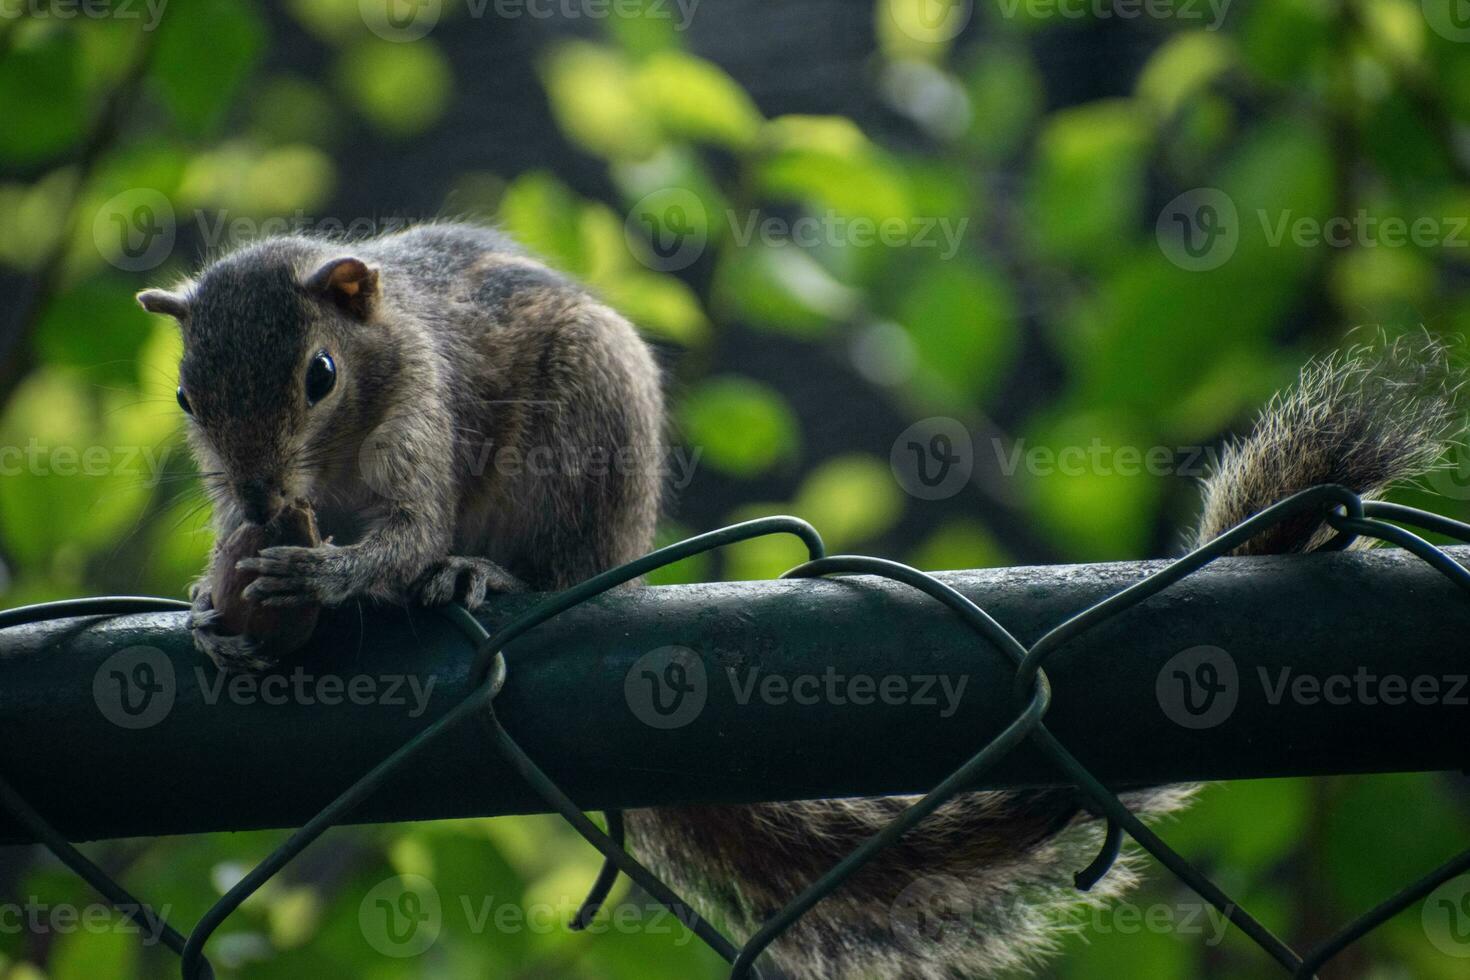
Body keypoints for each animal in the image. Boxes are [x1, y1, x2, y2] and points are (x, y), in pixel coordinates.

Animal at [135, 224, 1458, 980]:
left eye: (318, 375)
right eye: (188, 397)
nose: (260, 493)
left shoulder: (423, 410)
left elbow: (404, 533)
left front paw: (334, 572)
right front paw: (217, 594)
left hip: (588, 427)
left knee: (550, 560)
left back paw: (488, 575)